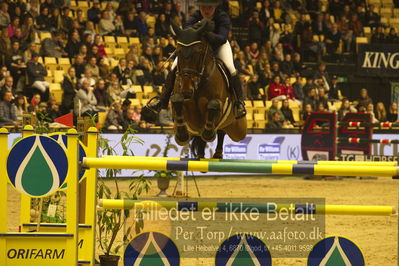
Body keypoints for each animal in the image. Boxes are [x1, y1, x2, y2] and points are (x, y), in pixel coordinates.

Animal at [170, 21, 247, 158]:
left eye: (198, 52)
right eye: (178, 52)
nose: (186, 91)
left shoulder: (218, 107)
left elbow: (213, 104)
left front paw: (208, 133)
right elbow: (177, 99)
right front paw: (182, 135)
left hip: (239, 129)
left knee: (222, 131)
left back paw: (217, 153)